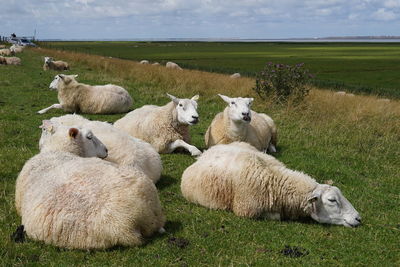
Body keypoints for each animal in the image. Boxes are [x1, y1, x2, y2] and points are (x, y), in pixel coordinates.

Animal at [181, 142, 362, 228]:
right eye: (332, 200)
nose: (358, 218)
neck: (274, 178)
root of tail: (207, 152)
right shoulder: (245, 211)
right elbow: (276, 216)